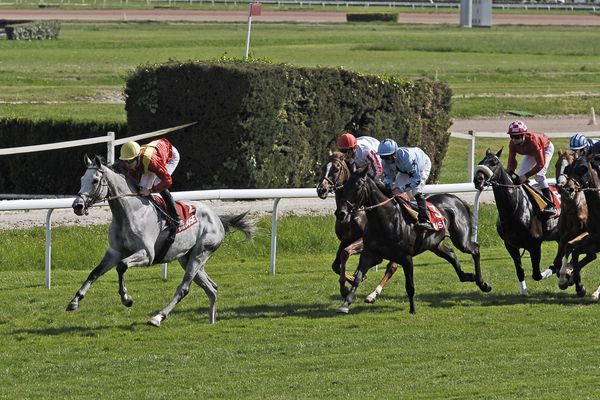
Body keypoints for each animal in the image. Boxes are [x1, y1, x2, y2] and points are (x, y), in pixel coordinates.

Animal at [68, 155, 255, 326]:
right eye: (81, 179)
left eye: (95, 180)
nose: (77, 206)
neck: (129, 213)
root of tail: (218, 219)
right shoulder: (115, 251)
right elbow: (94, 273)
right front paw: (74, 301)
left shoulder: (147, 254)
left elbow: (121, 266)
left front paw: (126, 298)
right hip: (186, 258)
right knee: (212, 288)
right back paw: (211, 321)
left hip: (200, 253)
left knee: (184, 288)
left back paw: (158, 317)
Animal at [316, 152, 400, 302]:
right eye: (323, 168)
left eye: (336, 169)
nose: (321, 189)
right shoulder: (345, 239)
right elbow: (336, 265)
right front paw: (350, 281)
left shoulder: (363, 239)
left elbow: (345, 253)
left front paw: (345, 288)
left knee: (392, 266)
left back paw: (373, 294)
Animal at [336, 164, 490, 314]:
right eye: (345, 186)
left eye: (358, 186)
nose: (341, 213)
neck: (386, 219)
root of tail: (458, 200)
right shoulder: (369, 253)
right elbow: (357, 278)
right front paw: (345, 302)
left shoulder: (406, 257)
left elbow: (409, 285)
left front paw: (413, 309)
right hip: (435, 244)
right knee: (452, 255)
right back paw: (468, 277)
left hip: (461, 239)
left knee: (475, 249)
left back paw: (483, 283)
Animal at [472, 148, 560, 296]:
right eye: (481, 161)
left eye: (494, 162)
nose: (478, 179)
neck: (515, 208)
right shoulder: (510, 245)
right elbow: (520, 270)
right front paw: (523, 291)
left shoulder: (535, 244)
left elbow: (537, 274)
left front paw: (551, 270)